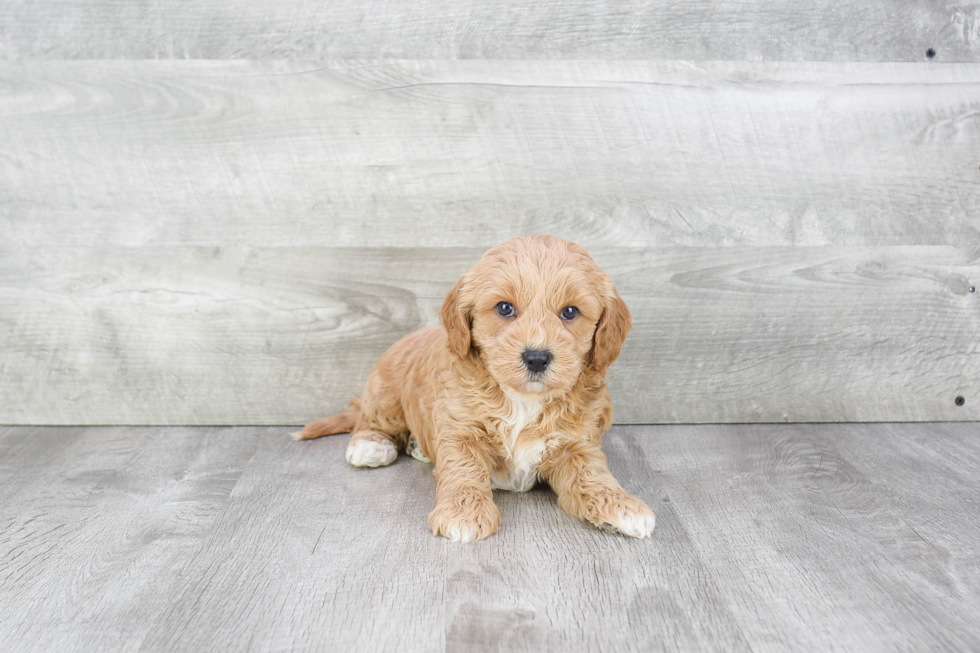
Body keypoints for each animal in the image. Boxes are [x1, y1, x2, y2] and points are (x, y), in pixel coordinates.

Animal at [294, 234, 656, 540]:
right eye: (505, 308)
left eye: (570, 312)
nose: (537, 357)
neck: (522, 400)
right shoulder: (460, 428)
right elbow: (463, 469)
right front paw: (463, 514)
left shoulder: (577, 442)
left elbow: (591, 473)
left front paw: (620, 504)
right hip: (385, 394)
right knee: (367, 419)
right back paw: (371, 445)